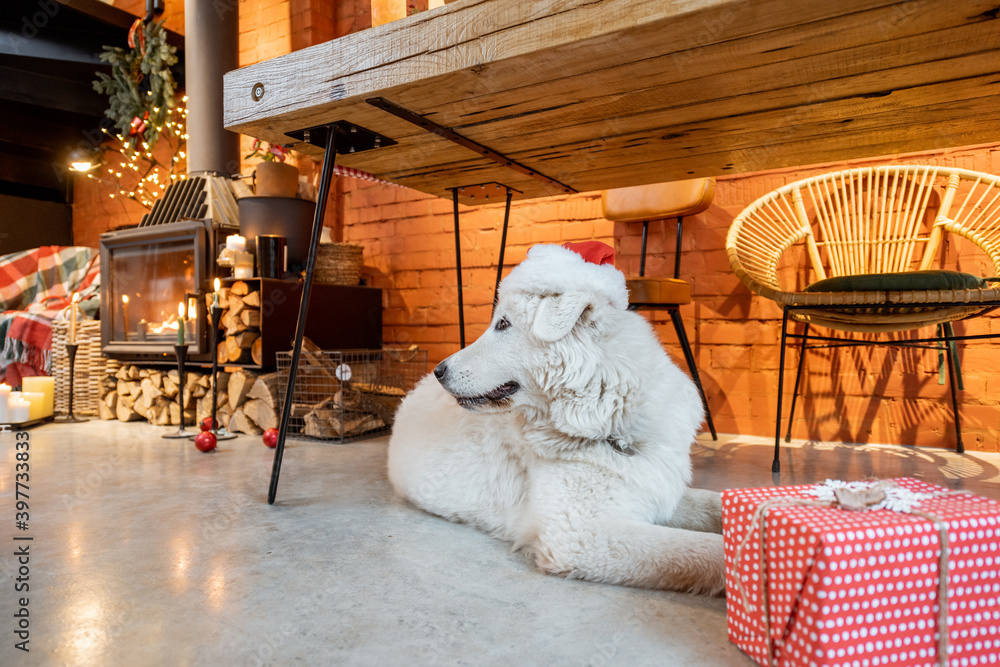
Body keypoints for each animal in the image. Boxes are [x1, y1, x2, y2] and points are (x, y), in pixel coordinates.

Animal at [386, 244, 724, 596]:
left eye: (503, 324)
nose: (439, 371)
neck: (607, 425)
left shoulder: (656, 492)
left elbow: (713, 504)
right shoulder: (583, 535)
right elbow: (708, 550)